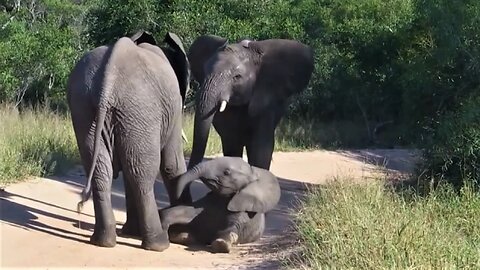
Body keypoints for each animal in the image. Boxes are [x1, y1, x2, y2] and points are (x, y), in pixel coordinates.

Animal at [66, 30, 193, 252]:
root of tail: (108, 79)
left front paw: (131, 232)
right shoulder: (174, 106)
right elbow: (171, 164)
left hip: (87, 107)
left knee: (104, 172)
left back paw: (104, 241)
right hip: (140, 107)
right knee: (142, 175)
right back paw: (159, 244)